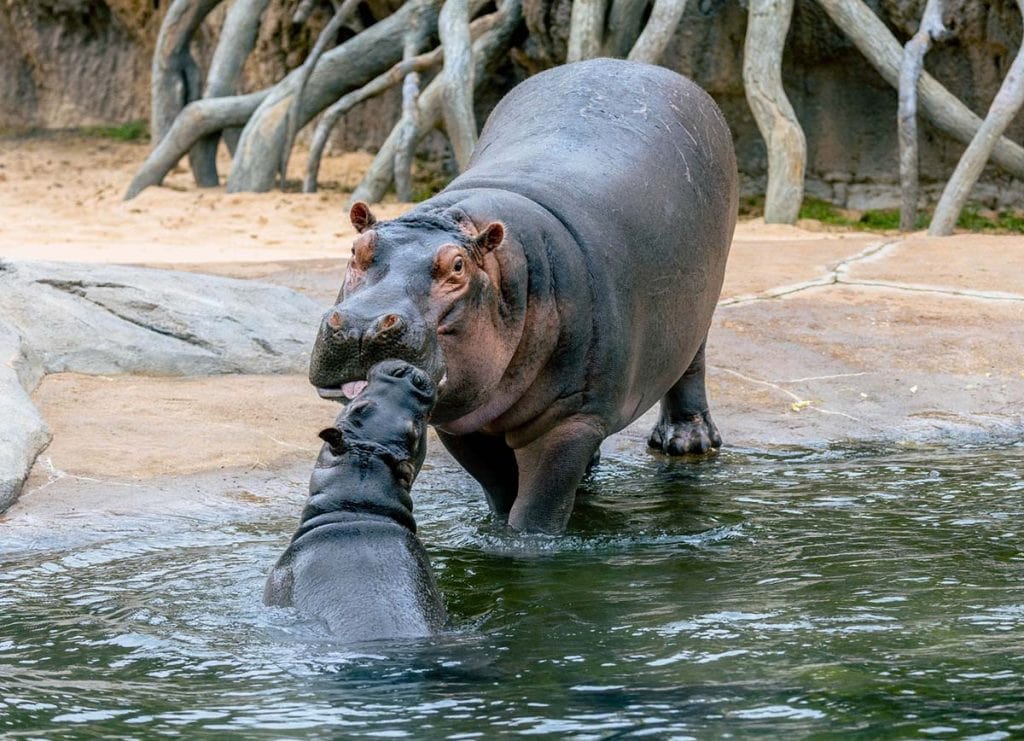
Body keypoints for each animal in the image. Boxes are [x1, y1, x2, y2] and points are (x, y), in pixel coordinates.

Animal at [310, 58, 738, 534]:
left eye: (457, 267)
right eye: (356, 249)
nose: (362, 326)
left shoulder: (569, 421)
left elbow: (538, 508)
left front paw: (527, 543)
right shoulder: (463, 422)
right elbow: (500, 491)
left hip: (700, 306)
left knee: (691, 364)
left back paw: (686, 442)